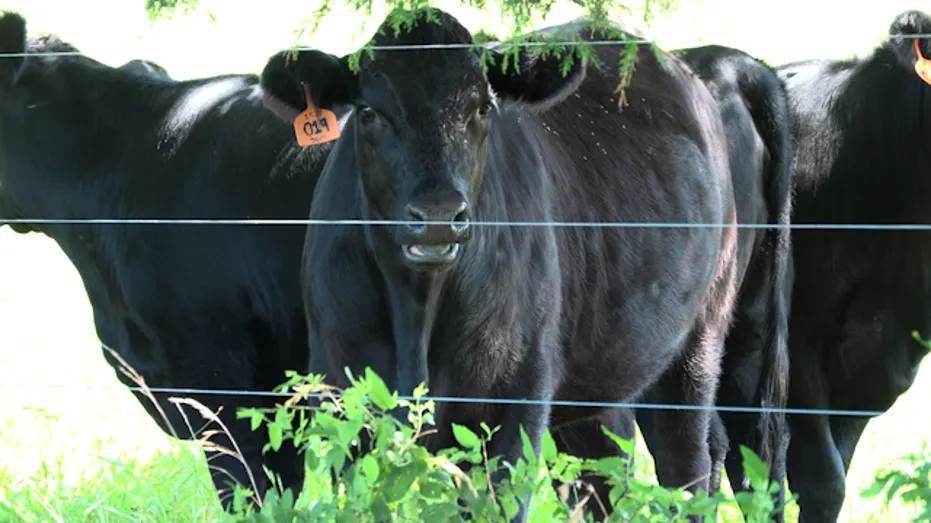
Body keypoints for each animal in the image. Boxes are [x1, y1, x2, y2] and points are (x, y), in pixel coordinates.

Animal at [260, 7, 749, 521]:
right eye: (369, 112)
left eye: (482, 108)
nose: (438, 215)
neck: (416, 310)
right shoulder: (344, 400)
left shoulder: (513, 399)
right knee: (606, 471)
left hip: (697, 345)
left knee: (686, 466)